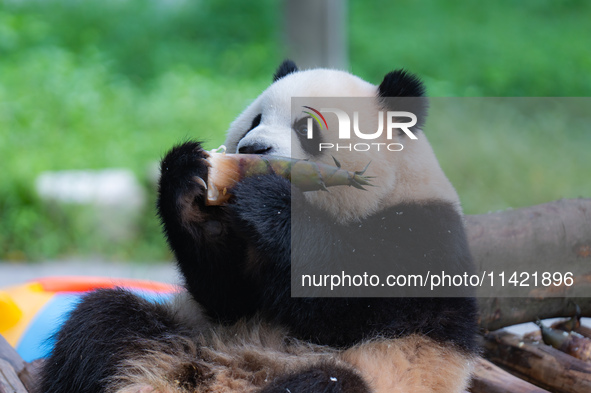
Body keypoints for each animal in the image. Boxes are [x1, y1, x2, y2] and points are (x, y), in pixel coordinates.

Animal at [39, 59, 478, 392]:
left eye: (308, 128)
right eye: (254, 121)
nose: (252, 149)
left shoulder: (424, 234)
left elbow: (349, 303)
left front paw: (269, 198)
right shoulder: (236, 279)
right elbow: (226, 295)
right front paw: (187, 177)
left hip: (366, 373)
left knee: (326, 384)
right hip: (182, 336)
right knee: (101, 323)